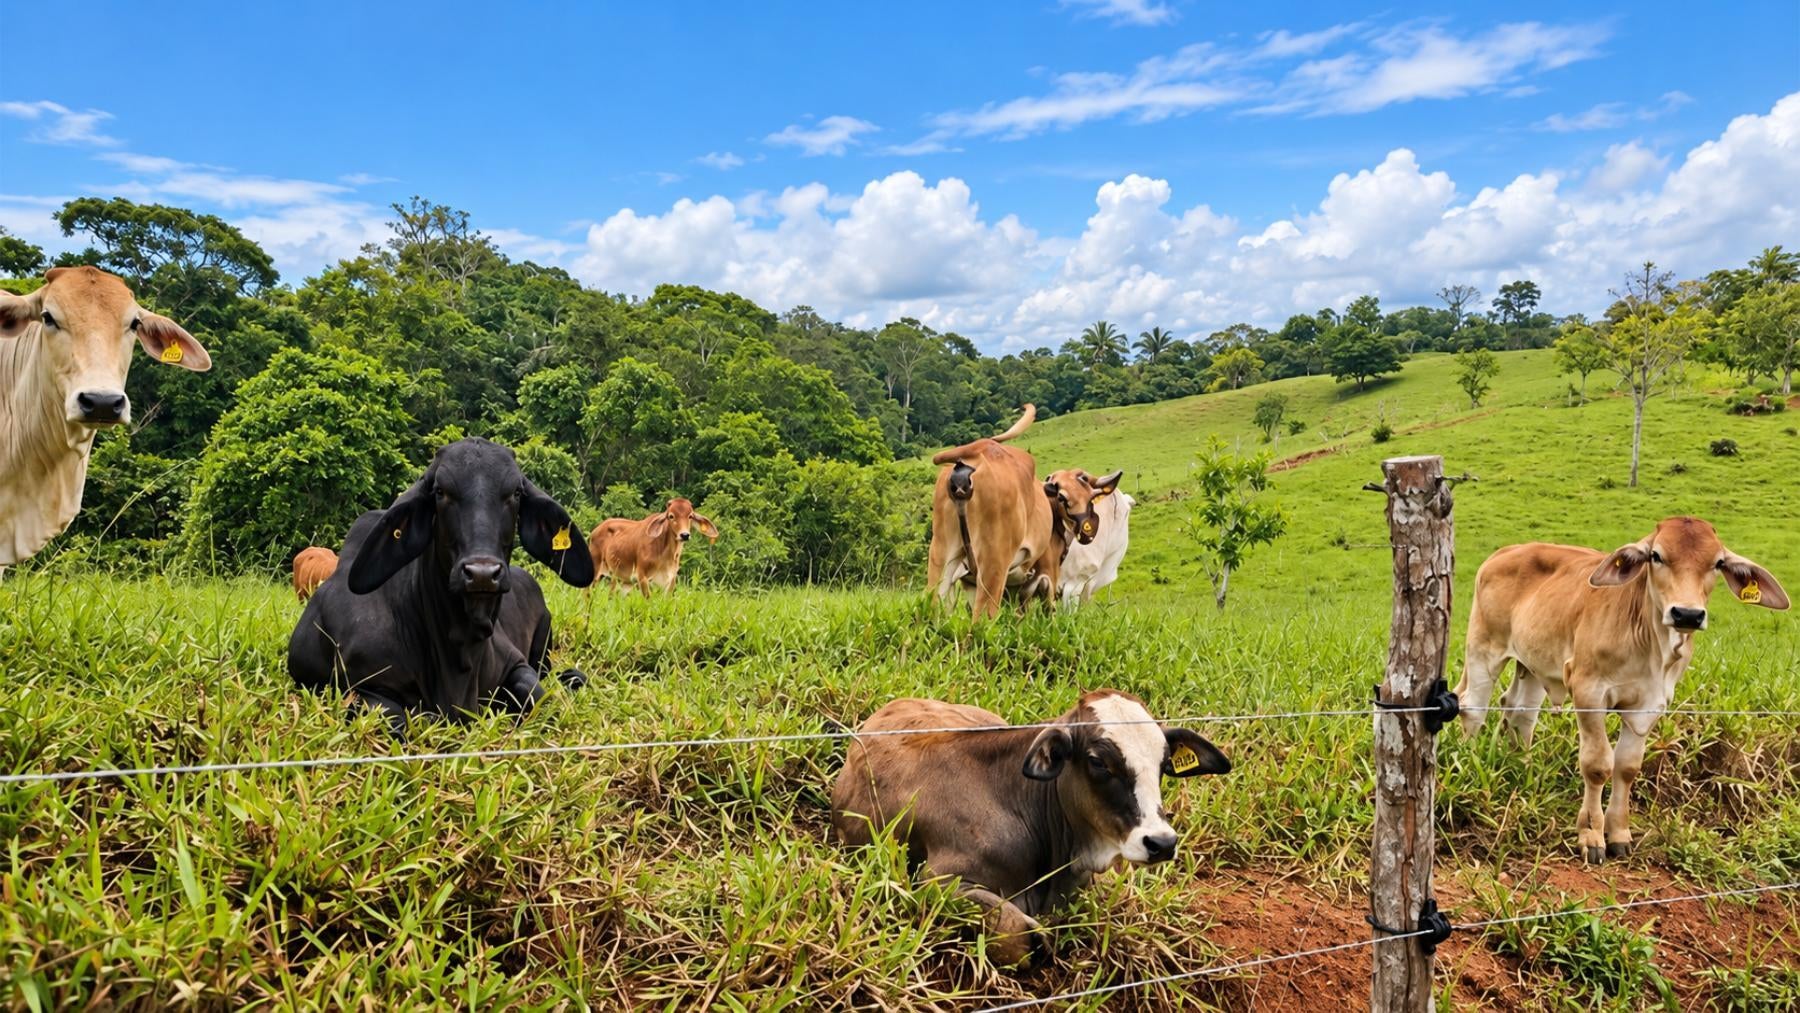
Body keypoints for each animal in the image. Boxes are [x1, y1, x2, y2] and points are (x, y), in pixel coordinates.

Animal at [287, 438, 596, 733]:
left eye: (516, 493)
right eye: (440, 491)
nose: (482, 573)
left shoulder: (518, 665)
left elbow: (541, 701)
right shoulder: (359, 686)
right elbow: (396, 719)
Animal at [585, 497, 718, 598]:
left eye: (690, 516)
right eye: (671, 516)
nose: (684, 535)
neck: (666, 555)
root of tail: (596, 530)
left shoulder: (671, 580)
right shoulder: (642, 576)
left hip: (620, 579)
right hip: (595, 569)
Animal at [927, 404, 1122, 619]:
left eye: (1089, 498)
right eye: (1063, 498)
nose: (1087, 532)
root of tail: (980, 448)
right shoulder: (1047, 574)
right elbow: (1047, 611)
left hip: (942, 553)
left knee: (931, 607)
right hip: (994, 561)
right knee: (982, 617)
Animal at [1455, 517, 1789, 864]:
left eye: (1718, 563)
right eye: (1656, 556)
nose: (1687, 614)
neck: (1652, 647)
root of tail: (1507, 550)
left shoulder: (1650, 704)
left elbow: (1626, 767)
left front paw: (1619, 834)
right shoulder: (1588, 692)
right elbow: (1598, 765)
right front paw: (1591, 835)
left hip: (1534, 663)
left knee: (1520, 712)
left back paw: (1523, 770)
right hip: (1483, 648)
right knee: (1472, 706)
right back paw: (1467, 762)